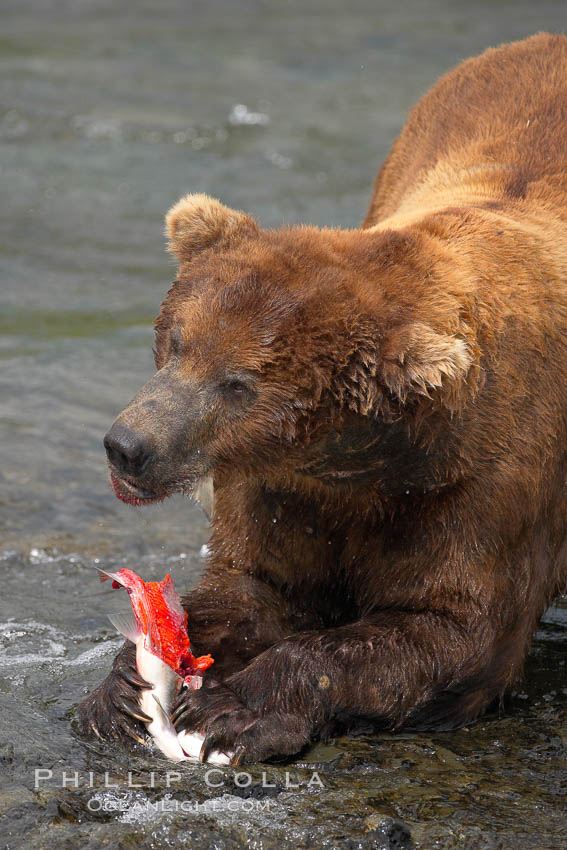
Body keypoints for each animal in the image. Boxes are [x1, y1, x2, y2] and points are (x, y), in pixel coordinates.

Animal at [77, 31, 567, 760]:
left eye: (238, 383)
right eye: (177, 342)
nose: (127, 445)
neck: (368, 459)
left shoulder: (482, 489)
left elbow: (449, 631)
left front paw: (231, 710)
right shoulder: (285, 492)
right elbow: (248, 588)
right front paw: (122, 690)